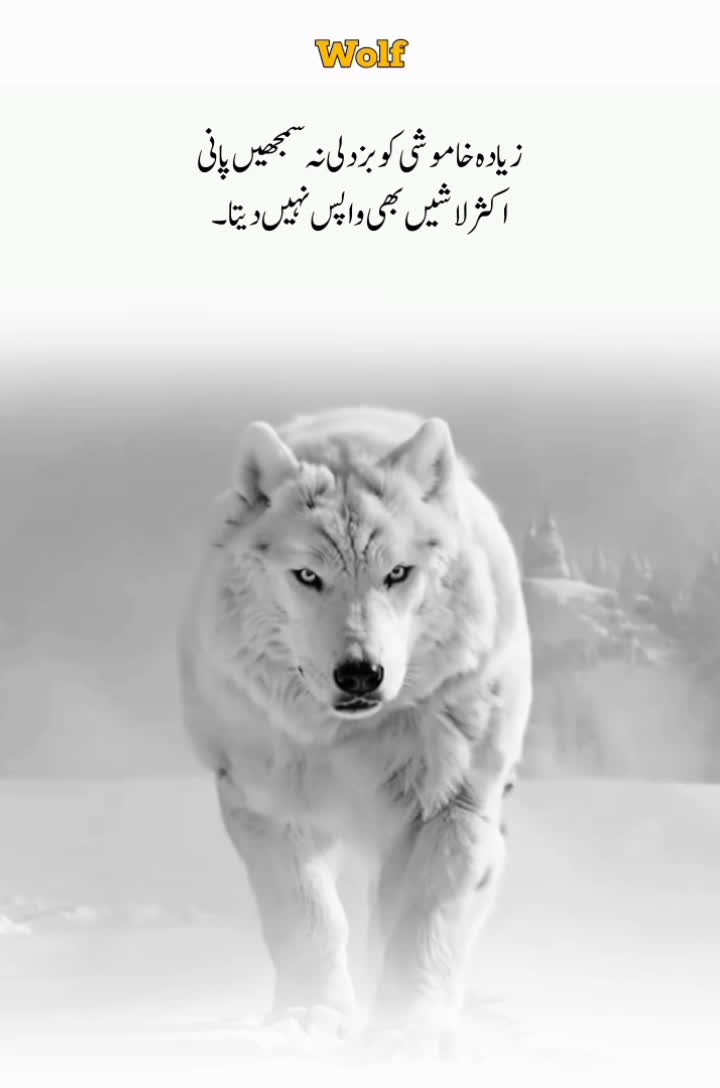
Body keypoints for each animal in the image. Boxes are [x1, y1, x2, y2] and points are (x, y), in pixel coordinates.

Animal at [178, 406, 532, 1051]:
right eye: (307, 576)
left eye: (397, 573)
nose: (361, 673)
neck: (354, 739)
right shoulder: (266, 808)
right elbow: (308, 920)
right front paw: (311, 1017)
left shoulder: (455, 810)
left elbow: (423, 926)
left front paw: (407, 1031)